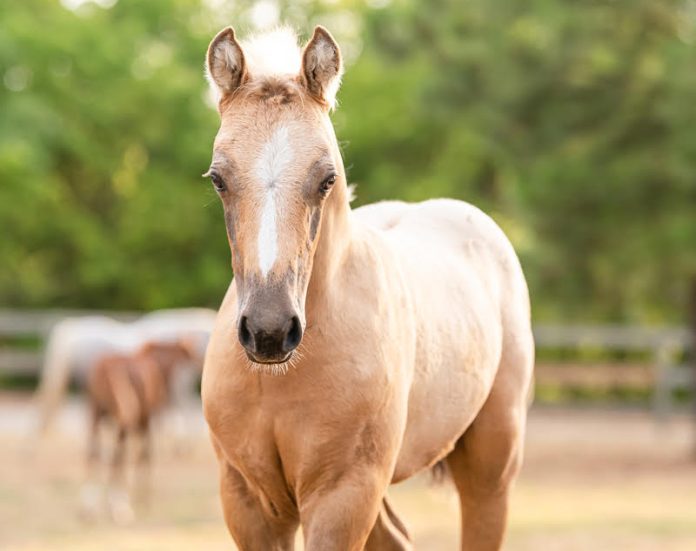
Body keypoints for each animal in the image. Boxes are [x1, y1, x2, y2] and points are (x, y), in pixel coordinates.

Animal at [82, 340, 195, 523]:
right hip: (123, 420)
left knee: (93, 453)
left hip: (96, 413)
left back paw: (89, 508)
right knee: (117, 458)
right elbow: (145, 456)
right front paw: (143, 501)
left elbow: (137, 455)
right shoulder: (145, 421)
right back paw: (120, 508)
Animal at [201, 26, 534, 551]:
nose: (269, 331)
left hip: (490, 467)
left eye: (327, 179)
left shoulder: (343, 494)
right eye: (218, 179)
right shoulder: (249, 500)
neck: (281, 378)